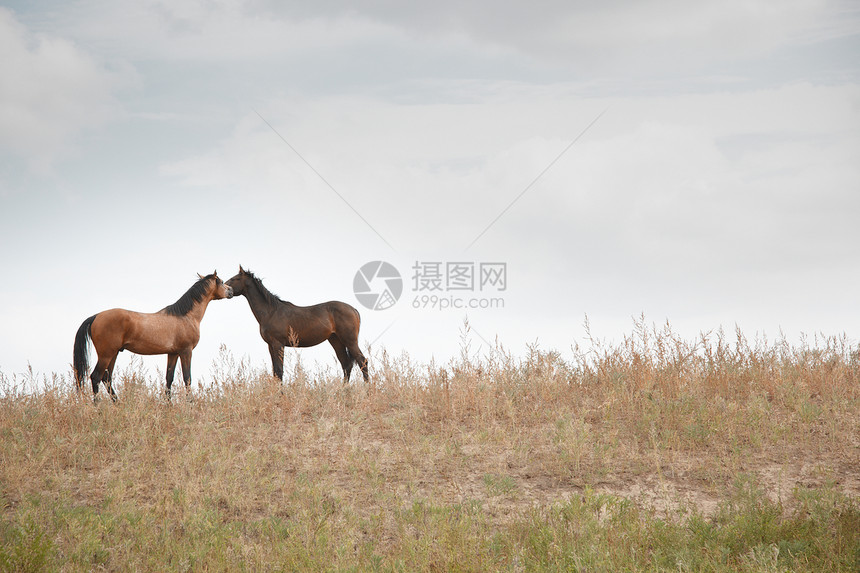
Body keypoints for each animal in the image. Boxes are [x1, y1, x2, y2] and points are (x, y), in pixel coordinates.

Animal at [72, 272, 233, 398]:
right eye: (221, 281)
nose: (231, 290)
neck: (185, 316)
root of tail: (96, 316)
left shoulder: (173, 353)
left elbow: (169, 378)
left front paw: (168, 405)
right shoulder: (186, 351)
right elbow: (187, 379)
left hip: (113, 354)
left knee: (106, 378)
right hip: (106, 354)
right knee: (96, 377)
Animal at [223, 266, 368, 382]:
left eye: (235, 279)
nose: (227, 290)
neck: (271, 311)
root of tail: (354, 310)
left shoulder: (278, 344)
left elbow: (279, 371)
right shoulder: (270, 345)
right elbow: (275, 372)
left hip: (350, 340)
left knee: (363, 362)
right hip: (336, 340)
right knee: (346, 364)